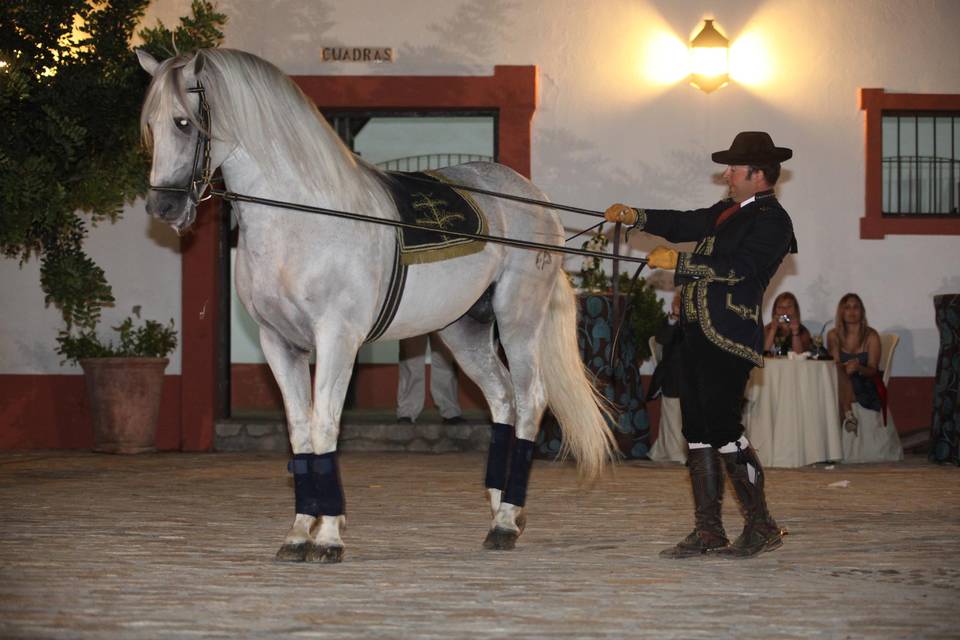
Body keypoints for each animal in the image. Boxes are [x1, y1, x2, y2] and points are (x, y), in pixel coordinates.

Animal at [136, 47, 616, 564]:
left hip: (517, 321)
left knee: (530, 401)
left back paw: (506, 522)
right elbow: (300, 431)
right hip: (463, 330)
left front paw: (328, 536)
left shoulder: (337, 338)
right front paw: (299, 532)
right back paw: (499, 507)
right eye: (151, 125)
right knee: (502, 400)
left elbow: (324, 426)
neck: (302, 219)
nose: (164, 209)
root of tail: (536, 199)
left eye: (184, 123)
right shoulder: (278, 343)